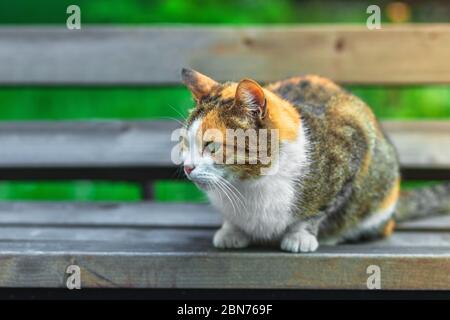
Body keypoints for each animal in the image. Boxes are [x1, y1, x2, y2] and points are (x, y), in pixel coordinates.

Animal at [179, 67, 450, 252]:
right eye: (185, 142)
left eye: (212, 145)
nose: (187, 167)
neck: (248, 185)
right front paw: (231, 230)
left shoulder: (352, 145)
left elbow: (319, 209)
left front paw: (300, 236)